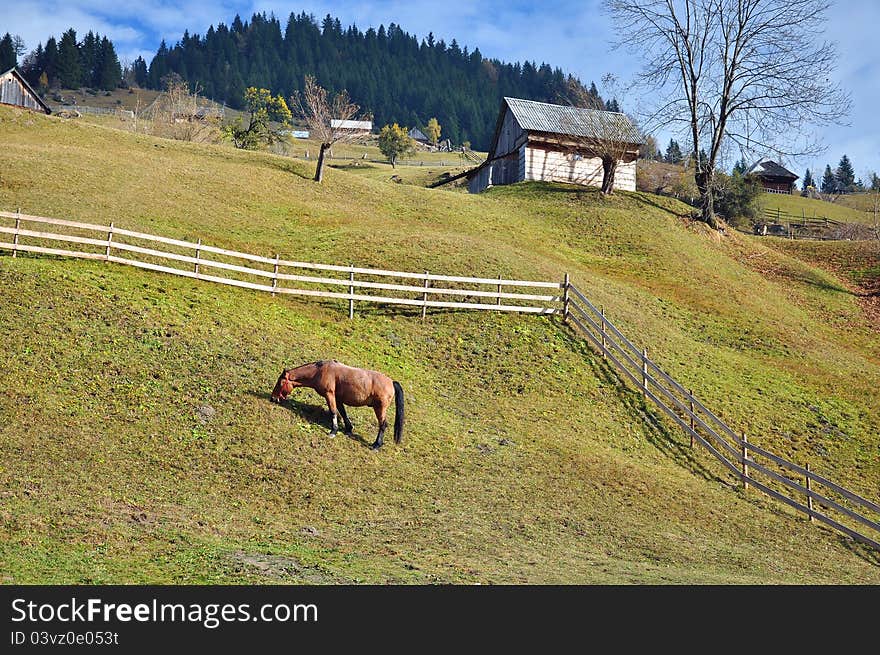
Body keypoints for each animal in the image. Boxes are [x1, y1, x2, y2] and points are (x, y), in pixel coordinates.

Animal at [270, 358, 404, 452]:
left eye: (280, 383)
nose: (273, 398)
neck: (320, 371)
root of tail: (391, 382)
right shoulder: (338, 399)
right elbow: (343, 413)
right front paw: (349, 429)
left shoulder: (329, 395)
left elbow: (333, 412)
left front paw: (333, 431)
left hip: (379, 408)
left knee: (383, 425)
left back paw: (376, 445)